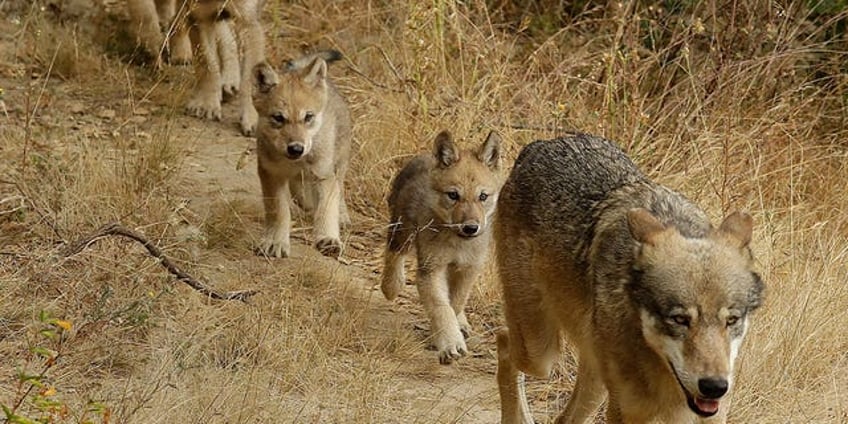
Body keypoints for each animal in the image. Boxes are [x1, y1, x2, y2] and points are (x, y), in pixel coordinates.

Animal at [250, 51, 350, 260]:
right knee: (305, 197)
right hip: (300, 187)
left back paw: (343, 216)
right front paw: (275, 242)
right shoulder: (271, 174)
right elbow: (279, 211)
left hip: (338, 164)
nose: (296, 148)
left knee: (339, 189)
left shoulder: (323, 174)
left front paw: (328, 238)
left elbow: (326, 208)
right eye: (278, 118)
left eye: (308, 117)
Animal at [382, 130, 504, 364]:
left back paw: (463, 324)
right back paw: (391, 286)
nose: (471, 228)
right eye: (453, 195)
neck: (458, 244)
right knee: (393, 255)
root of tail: (423, 156)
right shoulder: (431, 269)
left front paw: (443, 335)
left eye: (483, 196)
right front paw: (450, 344)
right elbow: (442, 308)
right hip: (402, 231)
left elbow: (454, 304)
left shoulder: (468, 269)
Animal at [494, 133, 764, 424]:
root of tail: (542, 143)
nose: (715, 386)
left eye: (731, 320)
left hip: (593, 382)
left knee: (563, 418)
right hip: (540, 354)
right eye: (680, 319)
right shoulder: (624, 412)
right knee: (504, 343)